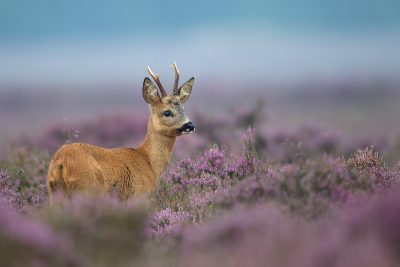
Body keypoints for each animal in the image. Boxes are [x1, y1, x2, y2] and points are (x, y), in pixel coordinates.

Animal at [47, 62, 195, 205]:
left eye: (184, 109)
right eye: (167, 112)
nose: (190, 125)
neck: (149, 162)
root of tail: (62, 162)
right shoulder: (140, 194)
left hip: (55, 192)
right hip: (88, 188)